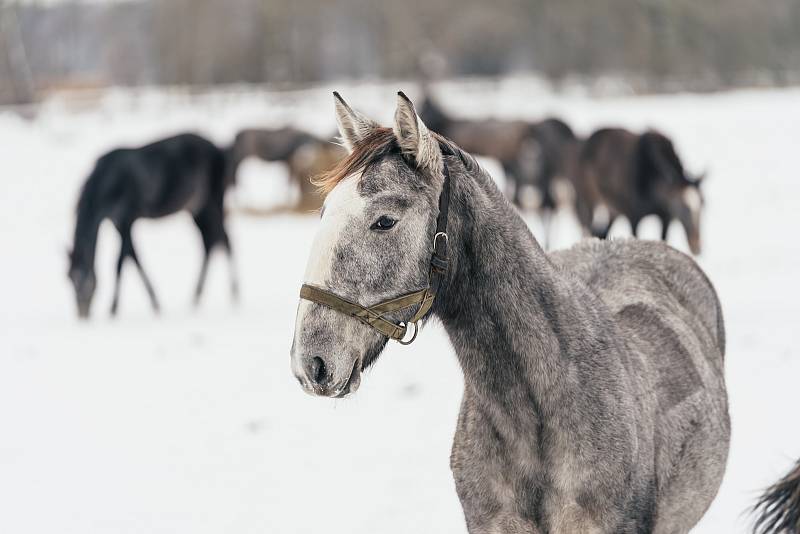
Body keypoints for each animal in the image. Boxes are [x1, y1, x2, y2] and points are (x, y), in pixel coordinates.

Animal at [67, 132, 236, 320]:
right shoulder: (117, 222)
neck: (107, 188)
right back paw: (197, 297)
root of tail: (220, 150)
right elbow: (134, 257)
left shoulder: (127, 219)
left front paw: (114, 309)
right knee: (210, 242)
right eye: (69, 279)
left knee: (224, 239)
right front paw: (154, 303)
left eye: (87, 281)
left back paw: (232, 293)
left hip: (214, 199)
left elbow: (120, 262)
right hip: (197, 208)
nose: (82, 314)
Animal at [572, 129, 704, 256]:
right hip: (590, 199)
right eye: (683, 207)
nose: (697, 247)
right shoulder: (634, 217)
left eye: (702, 204)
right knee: (588, 227)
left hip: (614, 209)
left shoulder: (666, 217)